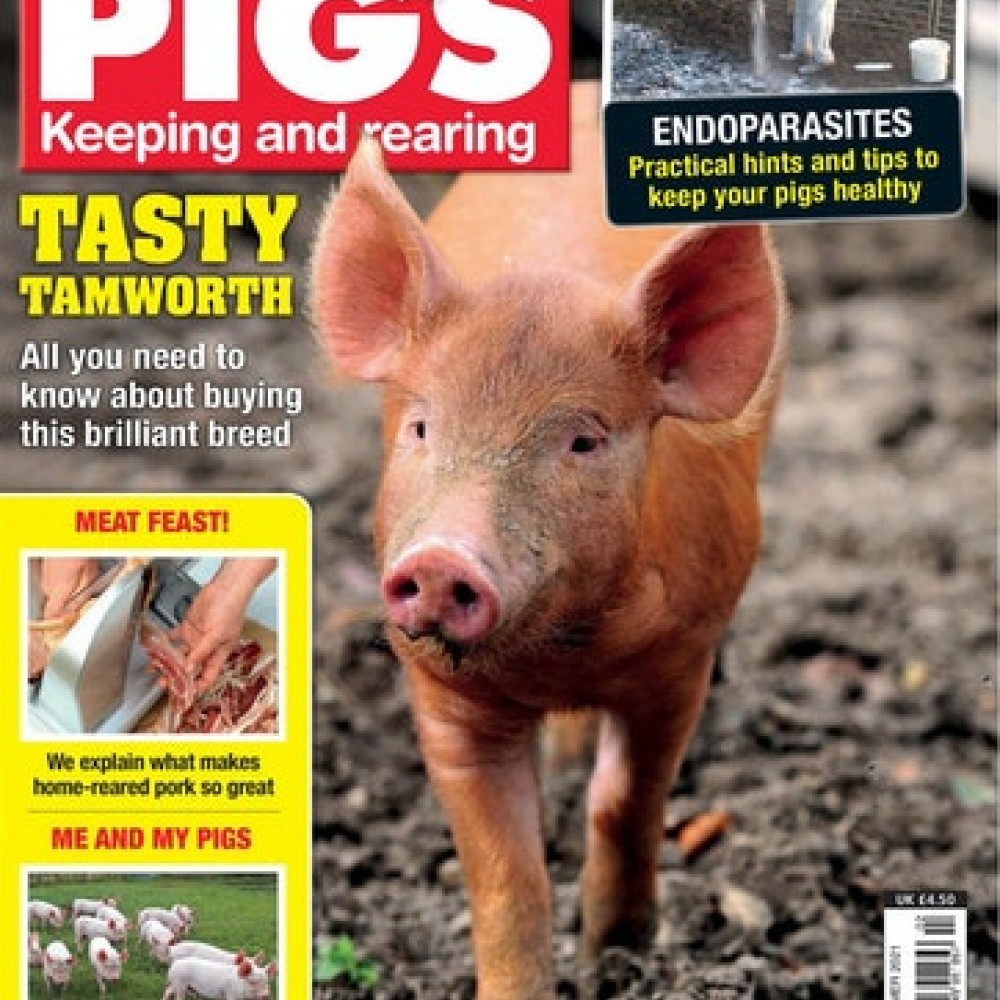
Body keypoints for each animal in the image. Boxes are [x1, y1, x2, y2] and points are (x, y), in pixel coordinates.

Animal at [309, 81, 785, 998]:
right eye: (421, 426)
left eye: (583, 441)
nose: (441, 561)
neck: (558, 658)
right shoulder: (443, 696)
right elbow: (507, 874)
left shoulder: (684, 658)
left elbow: (627, 800)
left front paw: (618, 957)